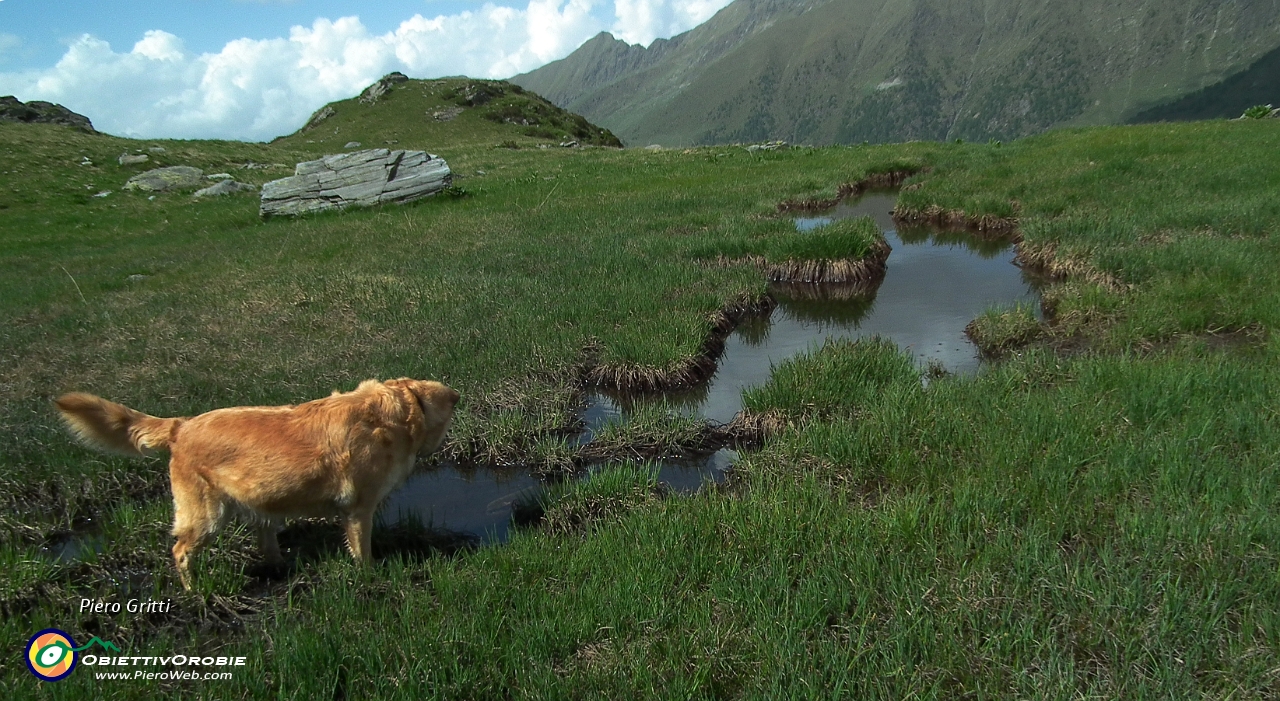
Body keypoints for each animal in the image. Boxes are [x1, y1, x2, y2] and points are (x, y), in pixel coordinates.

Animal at [52, 381, 460, 588]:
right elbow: (362, 552)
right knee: (180, 550)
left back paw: (277, 566)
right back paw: (195, 591)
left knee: (265, 540)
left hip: (258, 501)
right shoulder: (359, 509)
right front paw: (370, 575)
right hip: (206, 515)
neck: (389, 410)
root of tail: (181, 426)